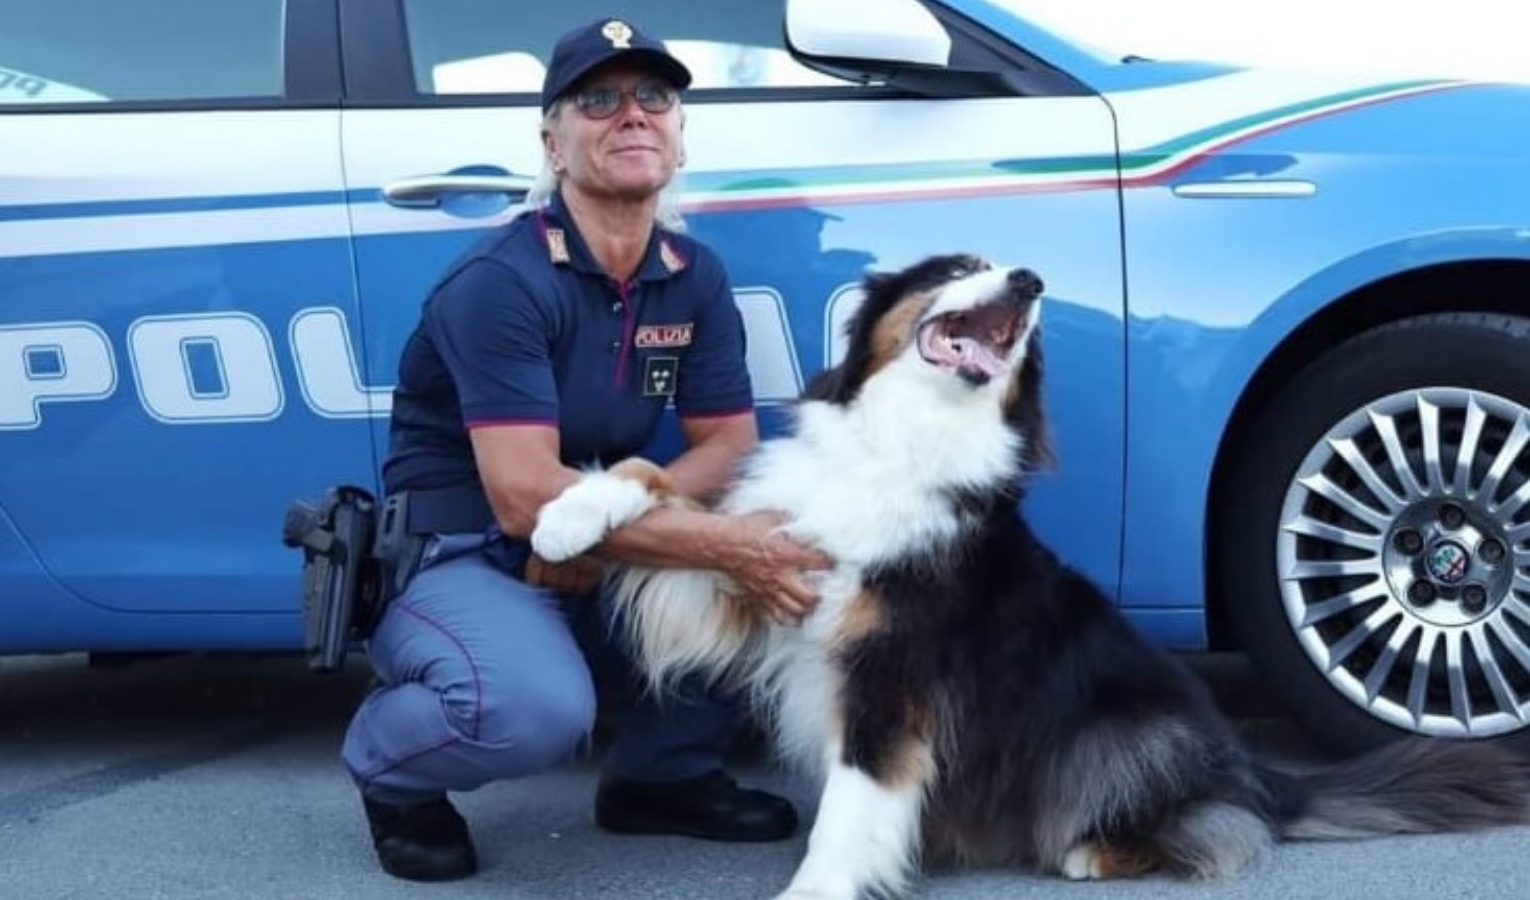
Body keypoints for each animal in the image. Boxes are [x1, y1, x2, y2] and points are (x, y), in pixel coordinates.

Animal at [529, 252, 1530, 900]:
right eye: (952, 268)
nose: (1029, 281)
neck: (905, 442)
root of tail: (1262, 770)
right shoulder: (757, 567)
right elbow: (658, 483)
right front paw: (563, 519)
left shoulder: (893, 673)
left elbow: (853, 805)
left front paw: (819, 889)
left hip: (1124, 727)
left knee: (1221, 825)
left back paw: (1101, 850)